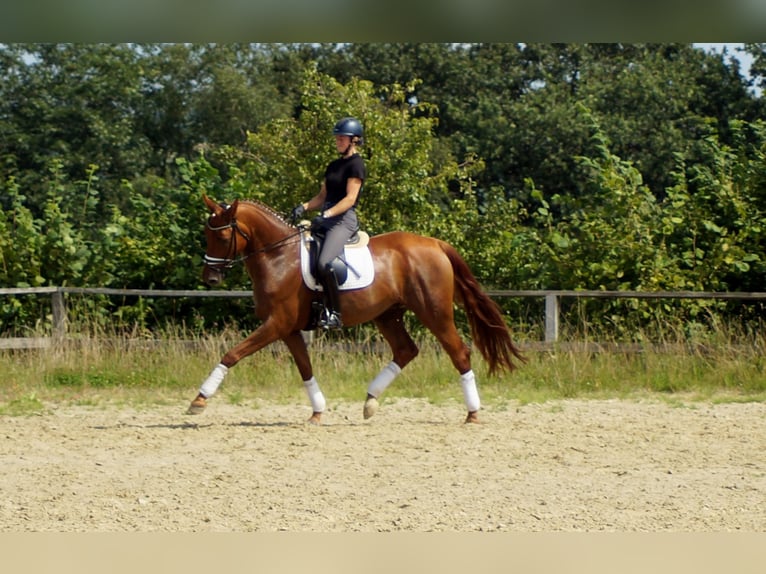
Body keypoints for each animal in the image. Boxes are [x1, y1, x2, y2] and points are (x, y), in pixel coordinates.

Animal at [188, 196, 528, 426]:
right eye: (205, 233)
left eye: (221, 235)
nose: (210, 278)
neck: (278, 256)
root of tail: (435, 244)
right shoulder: (289, 329)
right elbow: (305, 369)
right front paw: (317, 412)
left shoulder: (276, 324)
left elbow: (233, 354)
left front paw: (199, 400)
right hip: (387, 314)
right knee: (406, 350)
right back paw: (370, 402)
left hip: (434, 312)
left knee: (459, 352)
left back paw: (472, 413)